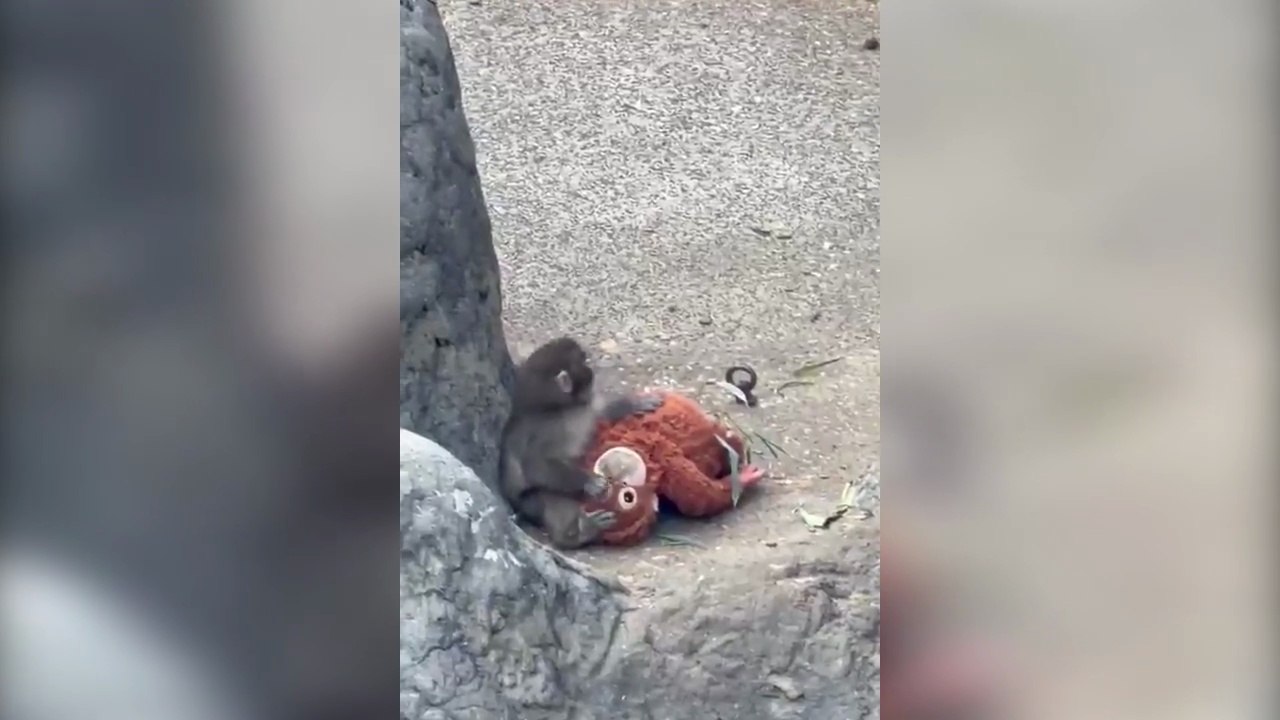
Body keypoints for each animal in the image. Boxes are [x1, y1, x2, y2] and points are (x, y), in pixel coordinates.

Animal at [499, 336, 661, 549]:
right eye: (584, 362)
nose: (592, 369)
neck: (560, 407)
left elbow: (599, 413)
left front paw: (632, 405)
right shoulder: (548, 428)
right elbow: (535, 464)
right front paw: (589, 481)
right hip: (529, 502)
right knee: (551, 496)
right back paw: (579, 532)